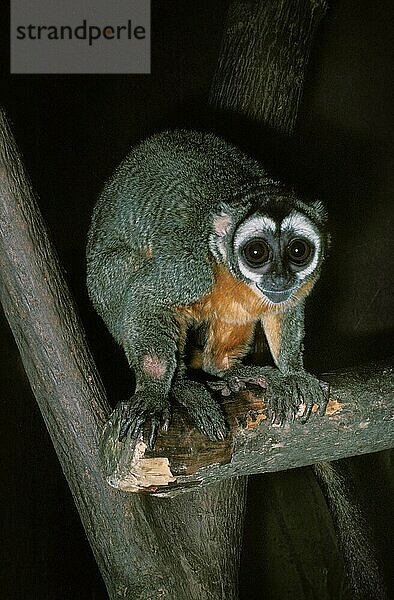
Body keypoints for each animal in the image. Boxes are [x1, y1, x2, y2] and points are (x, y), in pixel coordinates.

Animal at [87, 131, 330, 450]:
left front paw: (293, 374)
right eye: (256, 252)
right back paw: (182, 387)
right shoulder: (190, 269)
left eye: (298, 251)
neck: (225, 269)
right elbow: (145, 296)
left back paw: (228, 370)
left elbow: (285, 309)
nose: (280, 278)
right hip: (105, 288)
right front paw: (153, 395)